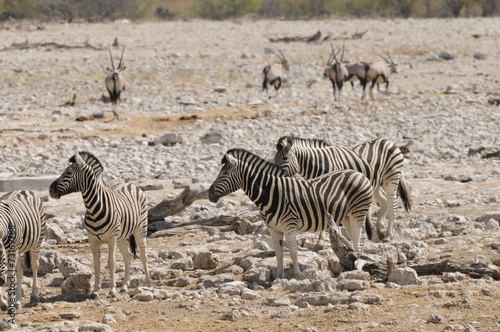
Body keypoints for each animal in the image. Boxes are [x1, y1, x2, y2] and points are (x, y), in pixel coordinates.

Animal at [50, 152, 153, 300]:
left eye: (68, 173)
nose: (50, 190)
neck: (94, 208)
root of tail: (129, 183)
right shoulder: (92, 240)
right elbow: (96, 265)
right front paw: (95, 291)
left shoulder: (111, 239)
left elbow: (111, 263)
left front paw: (112, 290)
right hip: (121, 237)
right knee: (127, 257)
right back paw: (124, 287)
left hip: (140, 228)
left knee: (143, 256)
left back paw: (149, 285)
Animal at [205, 149, 374, 278]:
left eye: (224, 175)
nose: (209, 194)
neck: (271, 193)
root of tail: (358, 173)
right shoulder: (274, 229)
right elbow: (279, 254)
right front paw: (279, 277)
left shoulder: (289, 226)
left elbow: (293, 252)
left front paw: (298, 274)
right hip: (346, 216)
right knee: (352, 238)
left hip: (358, 212)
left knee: (358, 239)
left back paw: (356, 264)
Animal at [274, 136, 410, 243]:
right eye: (274, 159)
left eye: (285, 158)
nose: (275, 176)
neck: (321, 164)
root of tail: (388, 140)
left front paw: (325, 239)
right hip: (375, 184)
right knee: (384, 202)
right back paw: (380, 230)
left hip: (391, 178)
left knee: (392, 204)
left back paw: (388, 235)